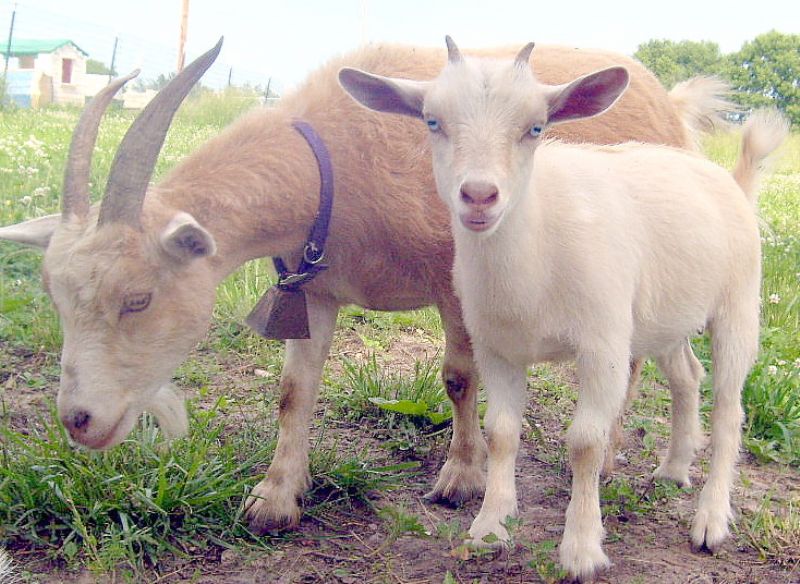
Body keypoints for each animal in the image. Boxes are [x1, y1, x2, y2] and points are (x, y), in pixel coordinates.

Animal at [0, 40, 732, 535]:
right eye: (59, 301)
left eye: (138, 299)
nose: (78, 421)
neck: (330, 162)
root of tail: (672, 105)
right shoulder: (314, 290)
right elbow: (294, 392)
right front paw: (275, 498)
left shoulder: (456, 282)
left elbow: (458, 378)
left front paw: (460, 478)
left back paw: (619, 463)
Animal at [338, 38, 787, 581]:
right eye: (431, 121)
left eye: (535, 127)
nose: (479, 195)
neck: (536, 249)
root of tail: (730, 181)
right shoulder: (497, 348)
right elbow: (501, 433)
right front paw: (490, 527)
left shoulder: (603, 345)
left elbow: (586, 442)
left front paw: (581, 550)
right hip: (663, 317)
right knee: (686, 376)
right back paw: (673, 468)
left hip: (737, 305)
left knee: (728, 409)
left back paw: (711, 520)